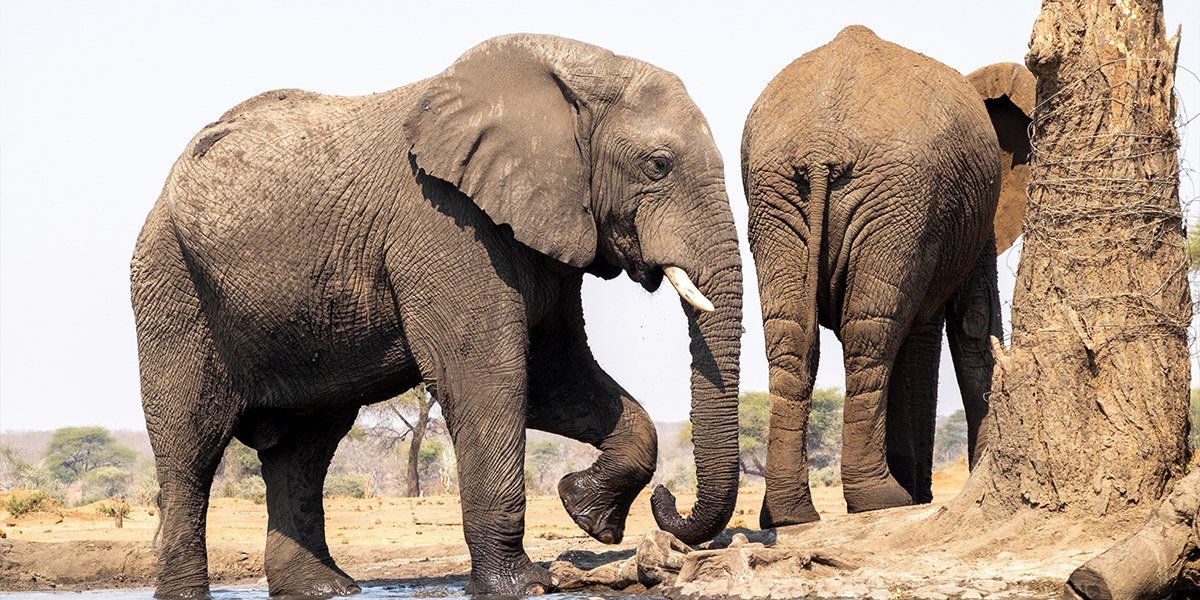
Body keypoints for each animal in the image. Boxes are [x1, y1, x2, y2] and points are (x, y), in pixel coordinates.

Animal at [131, 34, 743, 598]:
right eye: (658, 165)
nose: (668, 503)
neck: (568, 77)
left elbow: (556, 380)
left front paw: (583, 509)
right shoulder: (445, 221)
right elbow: (487, 379)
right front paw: (524, 585)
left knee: (305, 447)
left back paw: (323, 588)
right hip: (169, 282)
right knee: (191, 447)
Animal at [741, 25, 1032, 527]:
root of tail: (822, 146)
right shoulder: (966, 225)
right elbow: (971, 324)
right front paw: (928, 494)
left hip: (780, 199)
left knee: (793, 337)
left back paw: (788, 516)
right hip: (897, 202)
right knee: (871, 333)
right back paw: (882, 500)